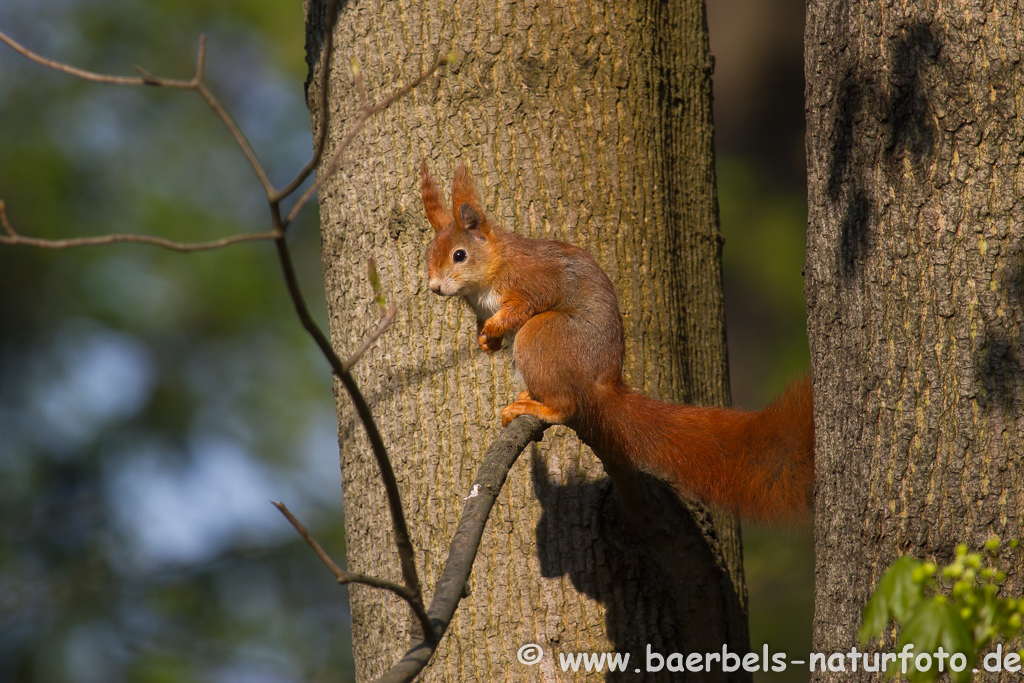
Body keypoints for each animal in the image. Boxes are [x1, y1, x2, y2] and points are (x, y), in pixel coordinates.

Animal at [419, 161, 811, 524]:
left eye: (459, 255)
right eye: (428, 256)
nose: (435, 288)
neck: (490, 272)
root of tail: (604, 385)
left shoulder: (534, 277)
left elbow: (529, 302)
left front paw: (495, 327)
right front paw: (486, 340)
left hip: (544, 335)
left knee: (566, 402)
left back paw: (542, 406)